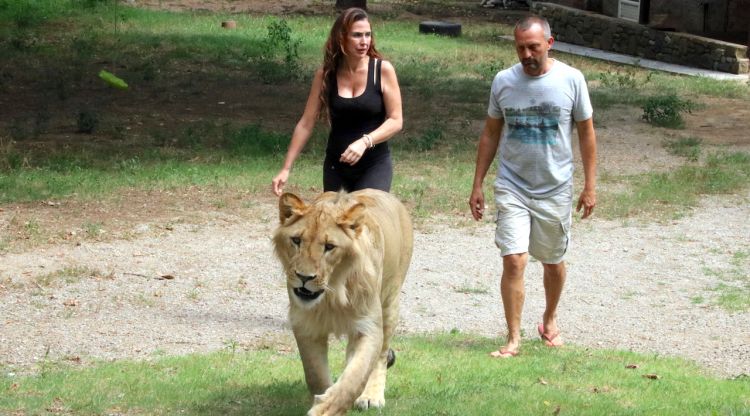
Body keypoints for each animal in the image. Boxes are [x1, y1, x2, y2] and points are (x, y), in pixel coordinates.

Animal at [274, 189, 414, 416]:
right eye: (296, 240)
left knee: (381, 356)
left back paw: (371, 396)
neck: (332, 295)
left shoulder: (368, 326)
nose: (304, 277)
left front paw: (326, 408)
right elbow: (315, 374)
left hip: (390, 303)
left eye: (329, 247)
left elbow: (355, 378)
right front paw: (324, 396)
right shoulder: (306, 324)